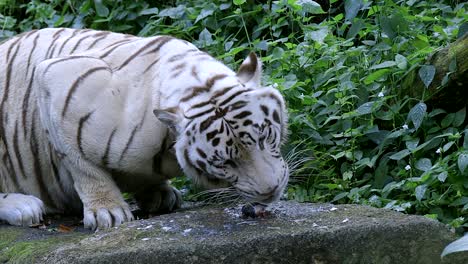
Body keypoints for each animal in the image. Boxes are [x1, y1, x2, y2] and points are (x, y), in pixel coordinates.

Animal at [0, 27, 288, 229]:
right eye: (224, 162)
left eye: (264, 137)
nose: (271, 191)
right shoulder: (55, 79)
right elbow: (82, 166)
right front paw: (108, 211)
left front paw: (159, 193)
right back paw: (24, 206)